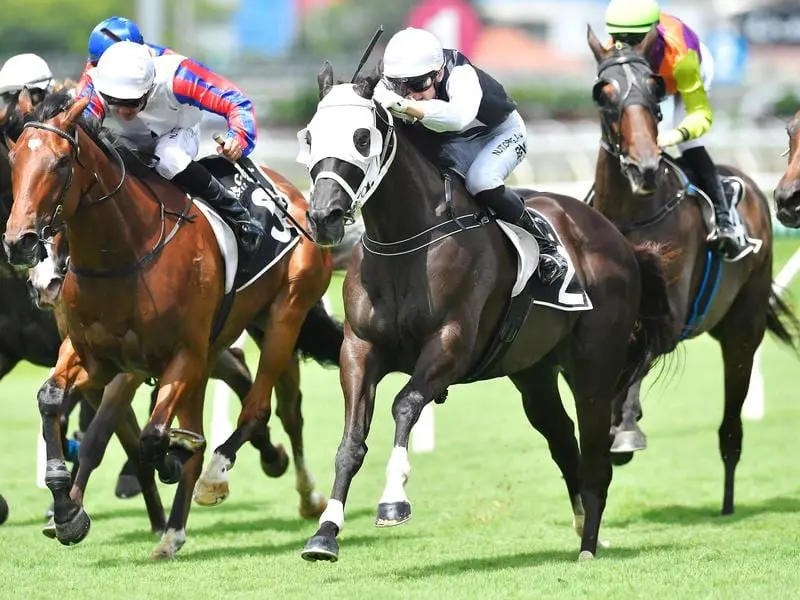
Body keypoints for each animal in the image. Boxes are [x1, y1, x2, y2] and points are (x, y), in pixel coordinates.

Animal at [0, 91, 338, 560]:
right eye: (13, 160)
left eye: (62, 162)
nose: (20, 242)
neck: (125, 255)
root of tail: (295, 197)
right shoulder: (93, 356)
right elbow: (53, 401)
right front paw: (66, 511)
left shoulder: (177, 356)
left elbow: (151, 436)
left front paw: (169, 461)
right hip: (224, 341)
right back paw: (174, 531)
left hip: (284, 316)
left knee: (262, 407)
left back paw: (232, 479)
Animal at [296, 64, 680, 564]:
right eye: (309, 135)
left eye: (362, 137)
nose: (324, 217)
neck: (406, 241)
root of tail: (615, 236)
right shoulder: (360, 351)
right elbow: (351, 441)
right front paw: (325, 533)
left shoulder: (451, 345)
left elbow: (405, 404)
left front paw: (394, 500)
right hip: (534, 372)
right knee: (563, 439)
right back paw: (581, 525)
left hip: (594, 366)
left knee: (596, 453)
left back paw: (589, 546)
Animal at [584, 28, 796, 516]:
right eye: (604, 94)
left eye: (655, 91)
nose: (645, 166)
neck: (632, 214)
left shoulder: (671, 314)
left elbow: (640, 359)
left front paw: (625, 429)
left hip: (742, 331)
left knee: (731, 427)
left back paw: (728, 500)